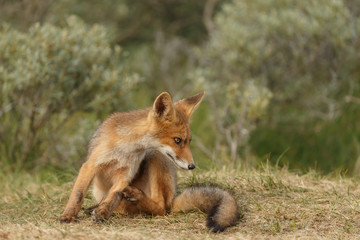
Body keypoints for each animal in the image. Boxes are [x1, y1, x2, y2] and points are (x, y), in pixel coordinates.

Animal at [59, 91, 239, 232]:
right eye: (178, 140)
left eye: (189, 141)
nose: (192, 166)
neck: (125, 148)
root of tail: (173, 199)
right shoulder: (91, 165)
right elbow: (78, 195)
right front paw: (68, 215)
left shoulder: (125, 174)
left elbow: (114, 195)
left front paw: (103, 212)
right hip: (100, 189)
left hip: (155, 156)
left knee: (160, 208)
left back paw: (134, 198)